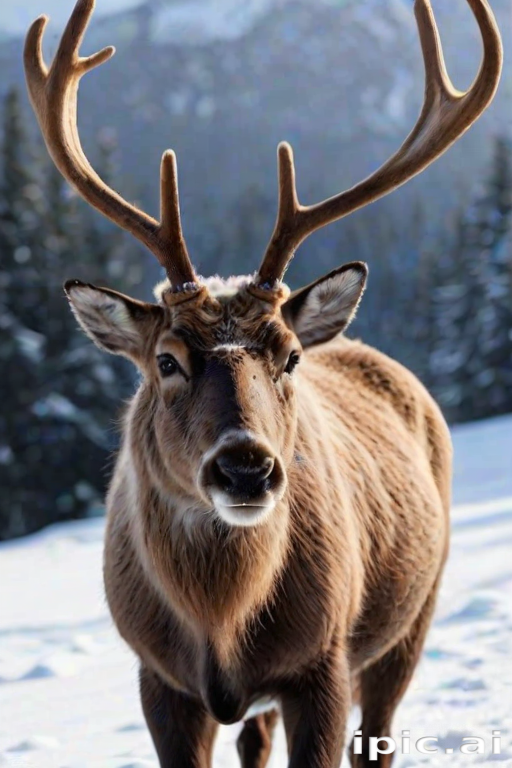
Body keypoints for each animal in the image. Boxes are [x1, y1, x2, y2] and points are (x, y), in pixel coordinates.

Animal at [23, 0, 501, 765]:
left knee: (379, 735)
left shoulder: (322, 663)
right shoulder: (157, 677)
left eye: (289, 356)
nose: (246, 468)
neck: (220, 623)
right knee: (256, 739)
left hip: (414, 615)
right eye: (166, 360)